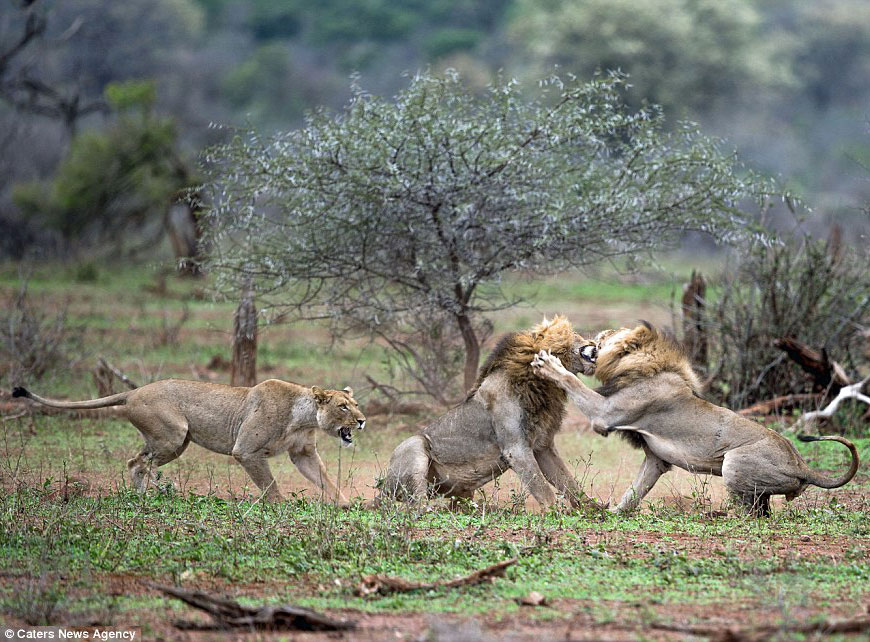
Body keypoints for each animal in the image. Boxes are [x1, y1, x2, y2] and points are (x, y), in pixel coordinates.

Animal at [14, 378, 368, 502]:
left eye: (355, 403)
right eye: (343, 406)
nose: (363, 420)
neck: (303, 415)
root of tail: (134, 390)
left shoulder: (303, 453)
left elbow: (325, 480)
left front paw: (345, 506)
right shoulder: (246, 451)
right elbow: (270, 486)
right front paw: (280, 508)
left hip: (173, 441)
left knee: (134, 461)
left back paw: (143, 497)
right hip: (173, 436)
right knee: (140, 463)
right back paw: (155, 493)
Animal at [378, 312, 604, 508]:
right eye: (576, 334)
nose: (595, 343)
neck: (542, 384)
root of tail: (383, 489)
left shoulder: (542, 446)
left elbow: (569, 483)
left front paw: (595, 511)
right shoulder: (516, 449)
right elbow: (544, 490)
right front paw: (556, 515)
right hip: (414, 445)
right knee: (415, 505)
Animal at [536, 320, 860, 516]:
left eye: (608, 335)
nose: (595, 337)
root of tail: (801, 465)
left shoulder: (605, 415)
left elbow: (574, 383)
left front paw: (548, 364)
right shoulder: (656, 458)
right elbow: (634, 491)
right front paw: (611, 513)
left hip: (733, 463)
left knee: (749, 514)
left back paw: (717, 515)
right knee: (762, 511)